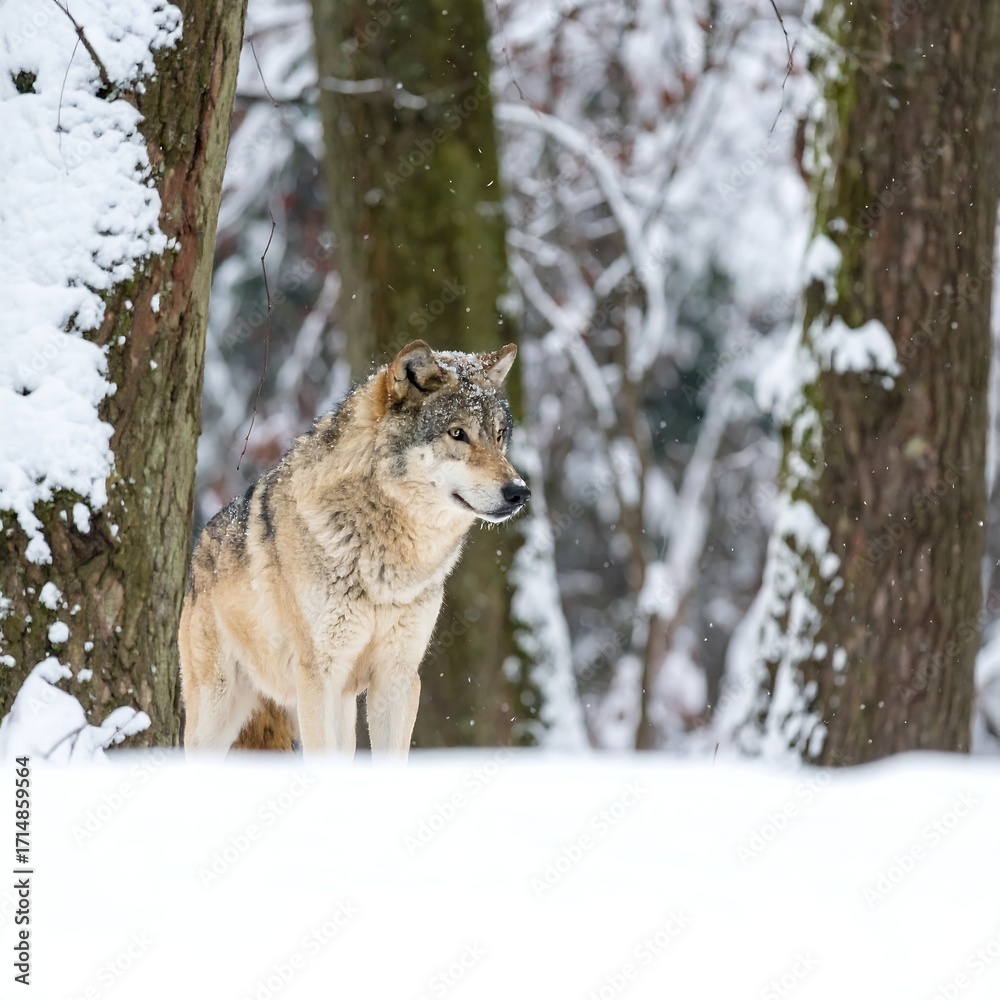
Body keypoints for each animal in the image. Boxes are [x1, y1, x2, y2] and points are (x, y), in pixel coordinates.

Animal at [179, 340, 529, 757]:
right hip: (218, 713)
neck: (387, 563)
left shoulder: (398, 677)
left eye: (499, 435)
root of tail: (199, 547)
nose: (520, 492)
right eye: (457, 433)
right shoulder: (319, 678)